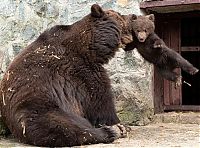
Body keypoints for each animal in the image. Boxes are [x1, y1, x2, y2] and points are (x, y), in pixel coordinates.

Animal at [0, 4, 133, 146]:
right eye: (120, 15)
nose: (133, 16)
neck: (90, 47)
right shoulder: (82, 71)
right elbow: (101, 101)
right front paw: (120, 124)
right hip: (38, 106)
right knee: (62, 126)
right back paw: (111, 131)